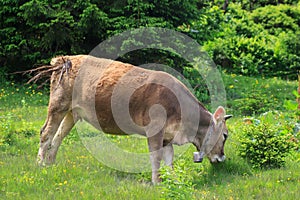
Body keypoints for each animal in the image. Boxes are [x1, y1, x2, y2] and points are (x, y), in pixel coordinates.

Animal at [37, 54, 232, 183]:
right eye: (225, 135)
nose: (222, 158)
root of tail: (66, 59)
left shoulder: (167, 136)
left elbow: (169, 159)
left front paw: (173, 181)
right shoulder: (154, 130)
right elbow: (156, 157)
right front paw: (156, 182)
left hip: (72, 112)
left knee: (58, 136)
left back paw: (50, 163)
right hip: (58, 105)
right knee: (46, 133)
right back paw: (40, 164)